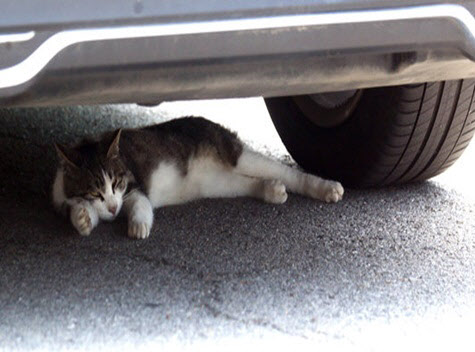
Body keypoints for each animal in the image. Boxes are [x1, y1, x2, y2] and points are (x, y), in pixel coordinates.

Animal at [52, 116, 344, 239]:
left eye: (117, 184)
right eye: (95, 192)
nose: (113, 208)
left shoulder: (134, 187)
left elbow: (140, 205)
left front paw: (138, 226)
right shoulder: (62, 199)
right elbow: (78, 209)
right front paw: (83, 219)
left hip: (235, 153)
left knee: (286, 172)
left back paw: (326, 188)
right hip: (215, 183)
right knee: (247, 182)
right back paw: (272, 190)